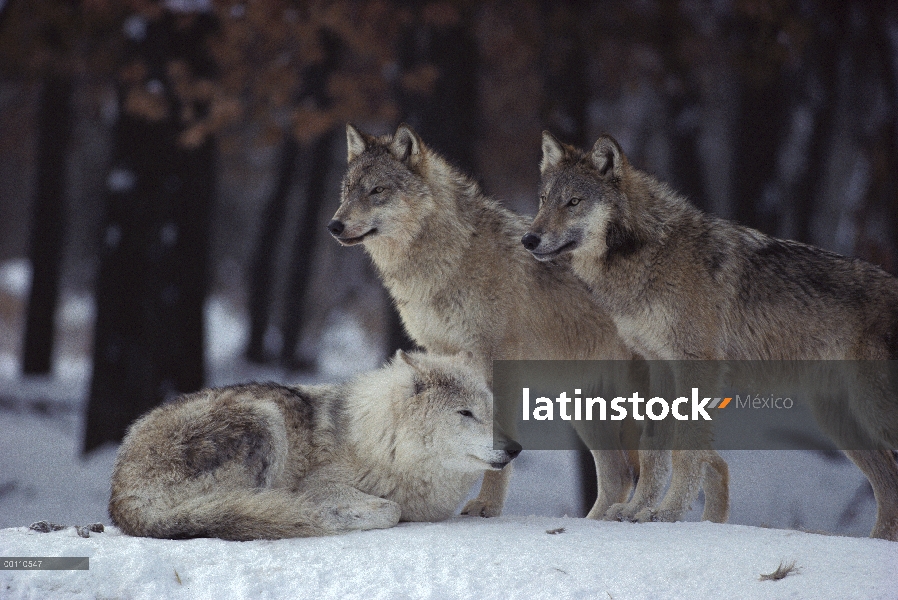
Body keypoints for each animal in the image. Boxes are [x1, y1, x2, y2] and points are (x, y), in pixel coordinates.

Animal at [108, 350, 520, 540]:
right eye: (465, 413)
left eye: (490, 411)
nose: (516, 449)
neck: (387, 445)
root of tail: (120, 494)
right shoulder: (322, 485)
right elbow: (391, 509)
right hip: (263, 417)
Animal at [324, 122, 728, 520]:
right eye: (347, 190)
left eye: (377, 191)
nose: (334, 225)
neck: (448, 260)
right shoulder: (441, 354)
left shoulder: (496, 363)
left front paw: (486, 506)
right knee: (625, 476)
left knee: (708, 464)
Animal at [520, 130, 896, 540]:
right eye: (543, 200)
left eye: (573, 202)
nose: (529, 239)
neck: (649, 253)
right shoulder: (659, 365)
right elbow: (653, 447)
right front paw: (635, 510)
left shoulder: (696, 365)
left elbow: (686, 450)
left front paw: (665, 514)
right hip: (840, 422)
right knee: (888, 483)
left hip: (872, 411)